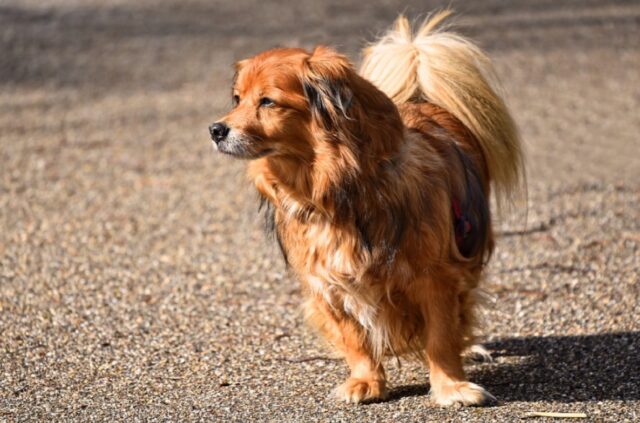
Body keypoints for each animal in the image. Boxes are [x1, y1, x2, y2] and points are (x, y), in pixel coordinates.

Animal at [210, 10, 524, 408]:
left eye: (267, 102)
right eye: (237, 99)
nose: (216, 129)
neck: (335, 191)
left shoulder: (437, 277)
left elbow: (441, 337)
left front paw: (451, 387)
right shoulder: (328, 281)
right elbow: (354, 338)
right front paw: (366, 381)